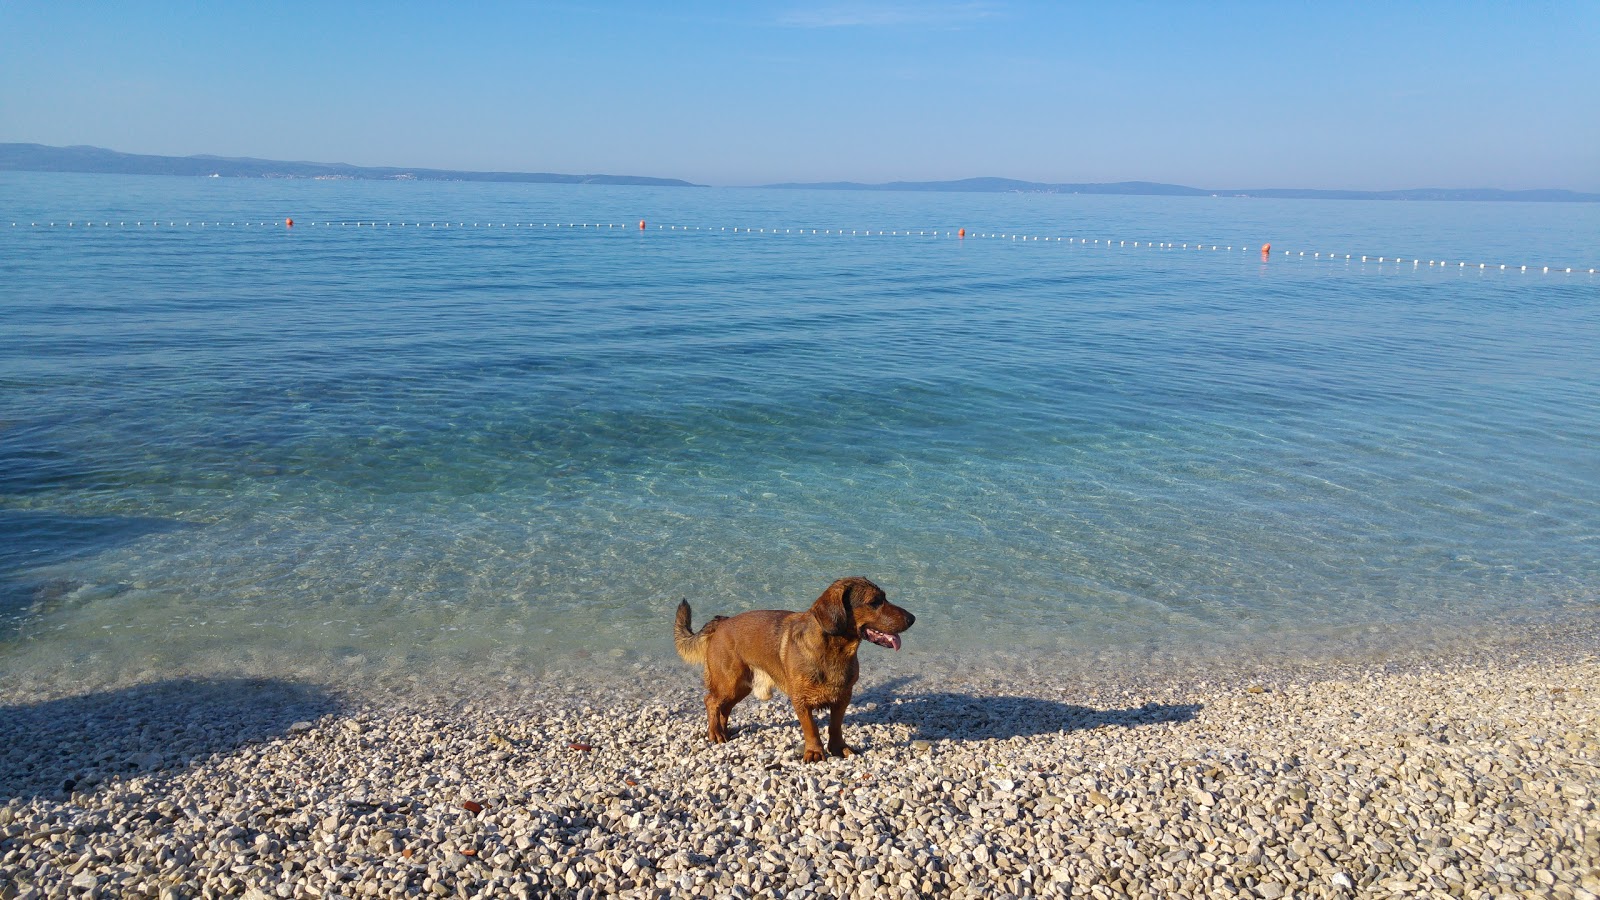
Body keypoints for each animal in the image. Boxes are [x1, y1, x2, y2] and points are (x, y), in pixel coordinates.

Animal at [672, 576, 915, 759]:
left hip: (741, 686)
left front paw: (838, 748)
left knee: (724, 708)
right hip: (728, 682)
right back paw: (715, 733)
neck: (833, 651)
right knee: (711, 702)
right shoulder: (801, 701)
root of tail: (722, 622)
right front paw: (815, 753)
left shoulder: (842, 698)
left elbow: (835, 727)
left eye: (884, 598)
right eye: (874, 602)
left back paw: (724, 730)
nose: (913, 618)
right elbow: (812, 729)